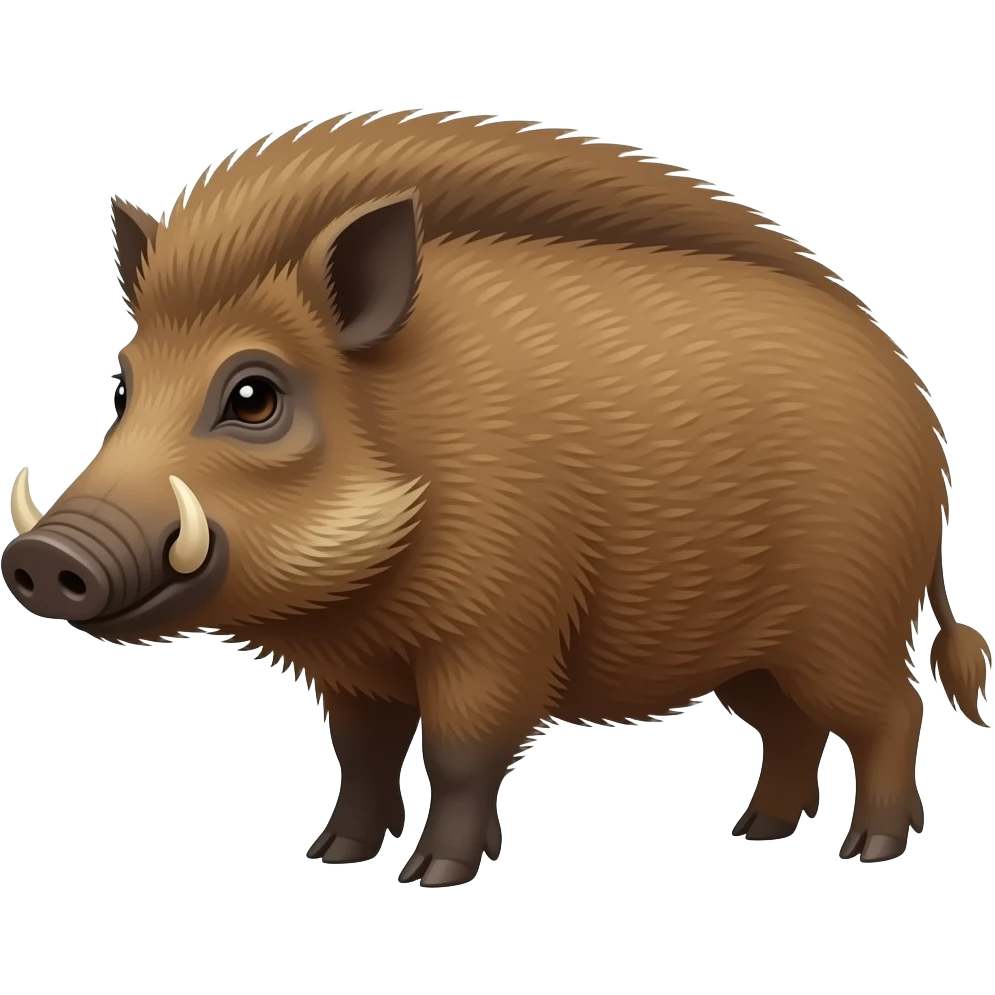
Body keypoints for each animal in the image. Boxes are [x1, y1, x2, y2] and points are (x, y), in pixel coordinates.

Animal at [3, 110, 991, 886]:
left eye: (253, 395)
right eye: (122, 387)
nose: (43, 557)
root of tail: (923, 414)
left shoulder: (498, 632)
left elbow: (461, 751)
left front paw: (432, 875)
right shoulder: (354, 669)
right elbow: (361, 755)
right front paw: (332, 856)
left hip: (847, 619)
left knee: (890, 711)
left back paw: (867, 850)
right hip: (753, 655)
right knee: (790, 728)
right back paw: (754, 834)